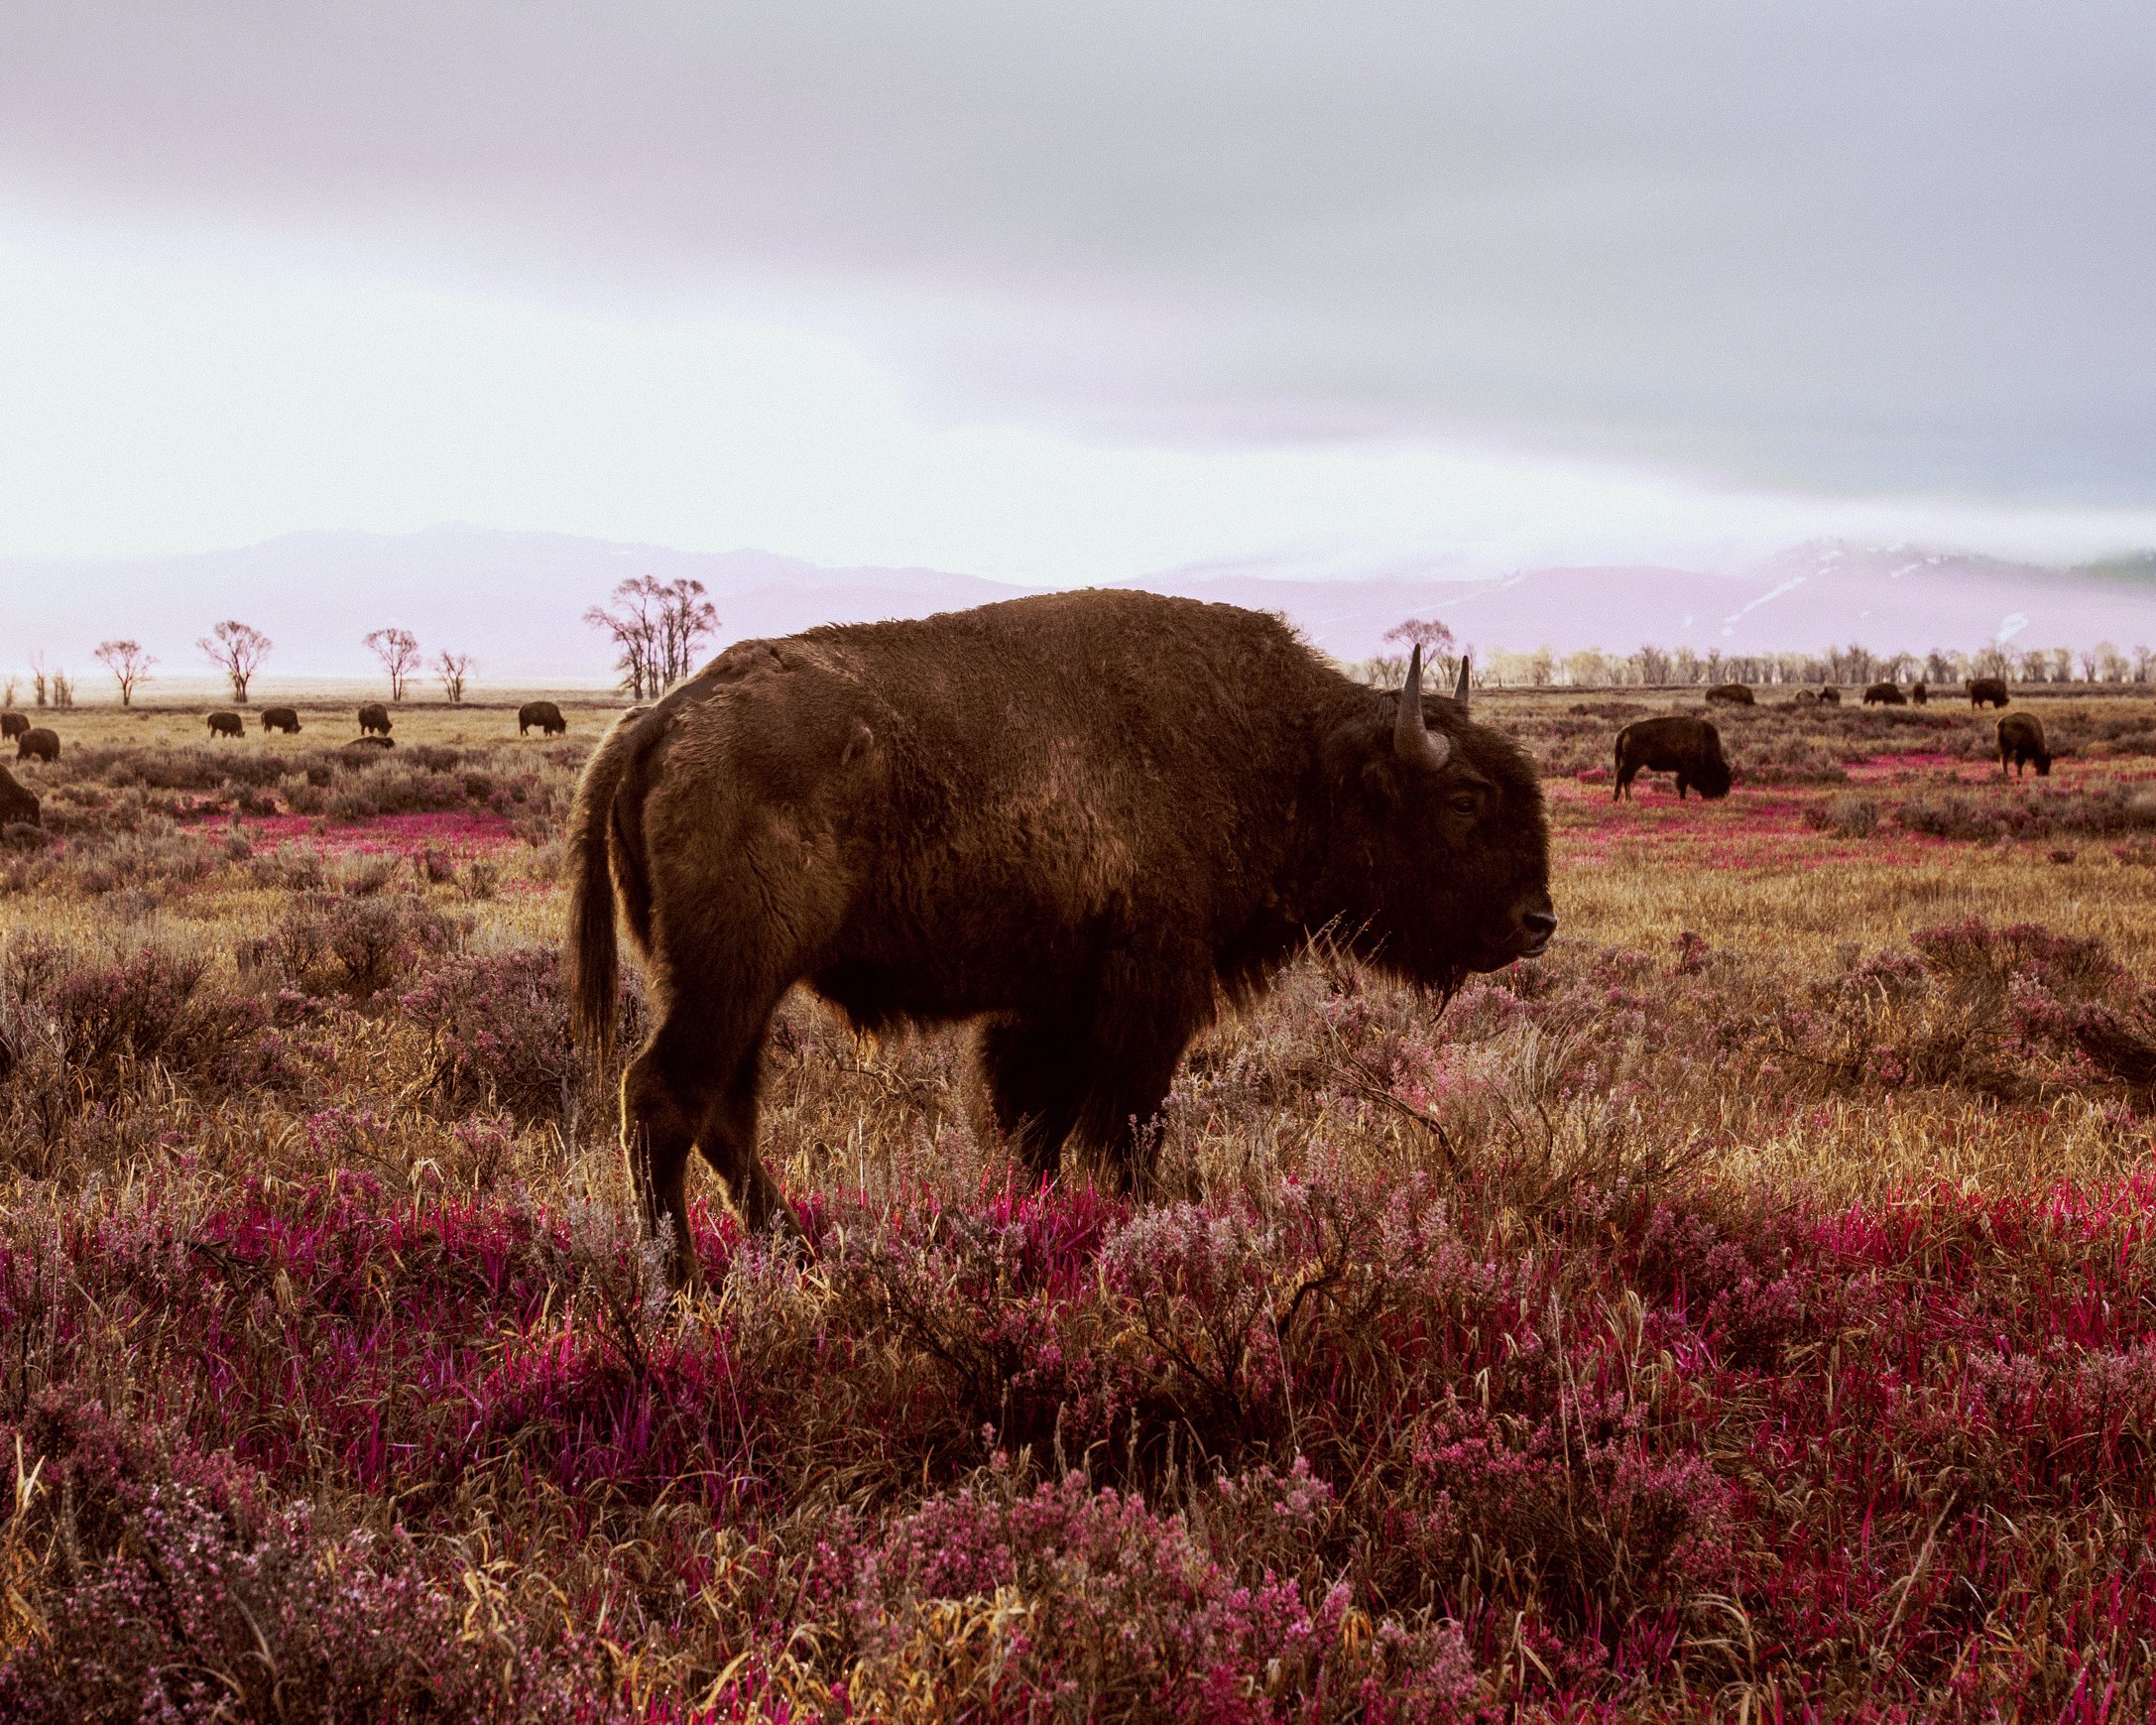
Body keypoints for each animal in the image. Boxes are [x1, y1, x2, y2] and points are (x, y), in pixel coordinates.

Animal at [568, 594, 1552, 1276]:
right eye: (1465, 799)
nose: (1537, 920)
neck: (1289, 752)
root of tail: (661, 718)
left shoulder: (1050, 1004)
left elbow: (1034, 1126)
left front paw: (1028, 1225)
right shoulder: (1147, 994)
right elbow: (1125, 1127)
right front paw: (1138, 1227)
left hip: (738, 987)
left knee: (723, 1114)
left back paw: (798, 1256)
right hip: (729, 978)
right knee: (663, 1097)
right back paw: (681, 1281)